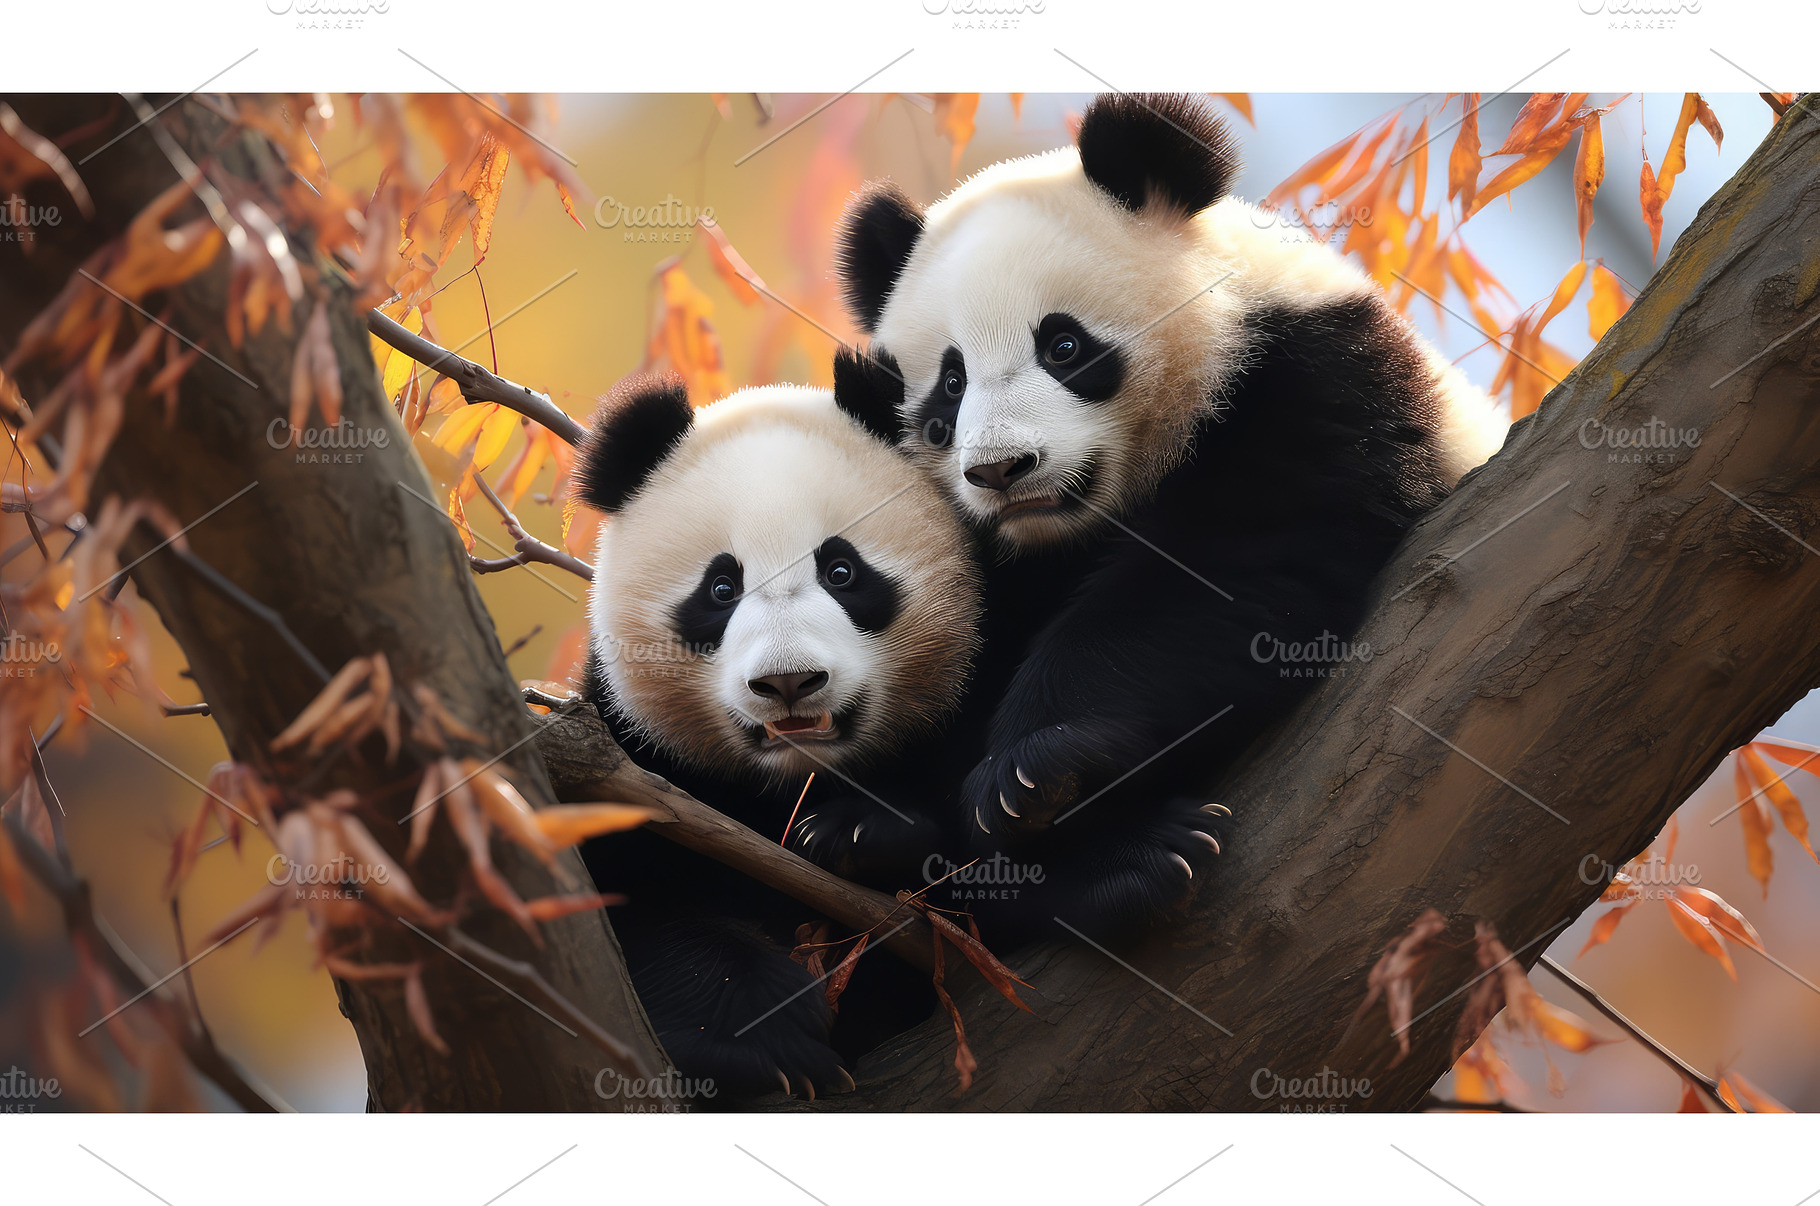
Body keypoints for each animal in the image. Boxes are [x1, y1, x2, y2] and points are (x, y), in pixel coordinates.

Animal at [572, 375, 981, 1101]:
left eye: (841, 571)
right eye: (721, 587)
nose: (789, 681)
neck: (796, 779)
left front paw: (859, 832)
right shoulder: (626, 752)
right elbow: (623, 908)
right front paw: (766, 1034)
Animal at [829, 92, 1507, 946]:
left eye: (1063, 345)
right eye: (950, 384)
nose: (1001, 470)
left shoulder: (1316, 383)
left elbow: (1226, 578)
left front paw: (1036, 767)